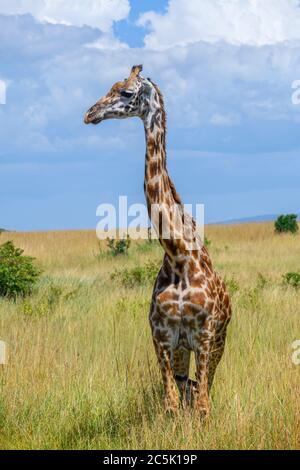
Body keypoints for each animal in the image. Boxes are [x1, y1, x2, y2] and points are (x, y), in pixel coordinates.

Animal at [84, 66, 232, 418]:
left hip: (219, 342)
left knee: (204, 392)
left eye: (125, 91)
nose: (90, 113)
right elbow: (172, 404)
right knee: (188, 391)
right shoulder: (162, 336)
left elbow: (203, 405)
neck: (177, 254)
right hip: (182, 350)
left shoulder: (204, 335)